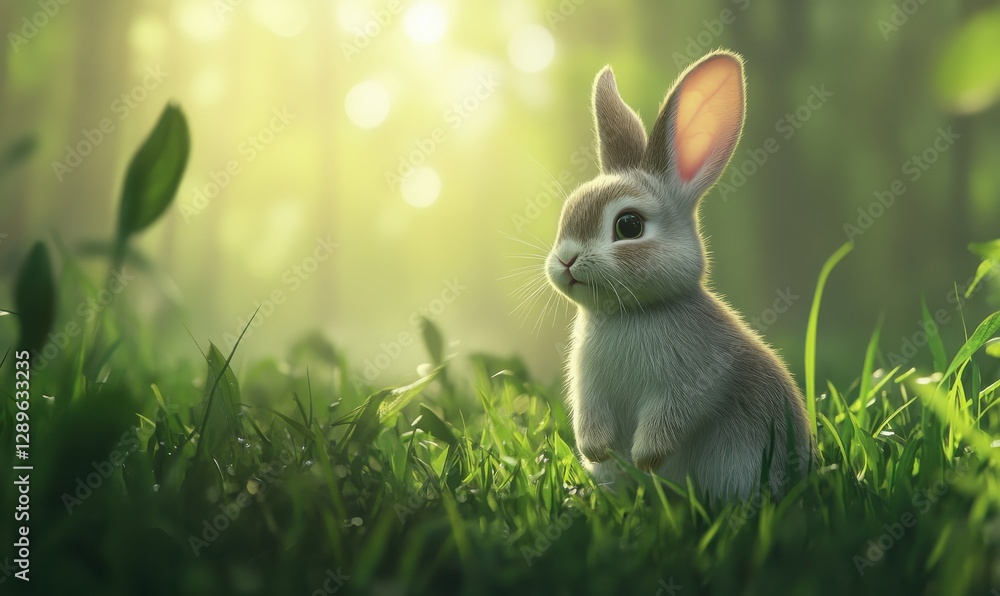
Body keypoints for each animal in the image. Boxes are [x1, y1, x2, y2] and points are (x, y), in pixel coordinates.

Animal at [545, 50, 813, 501]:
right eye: (567, 212)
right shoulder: (589, 388)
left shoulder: (690, 383)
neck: (631, 313)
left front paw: (644, 459)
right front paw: (598, 450)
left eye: (629, 226)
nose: (565, 260)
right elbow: (590, 417)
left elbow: (670, 418)